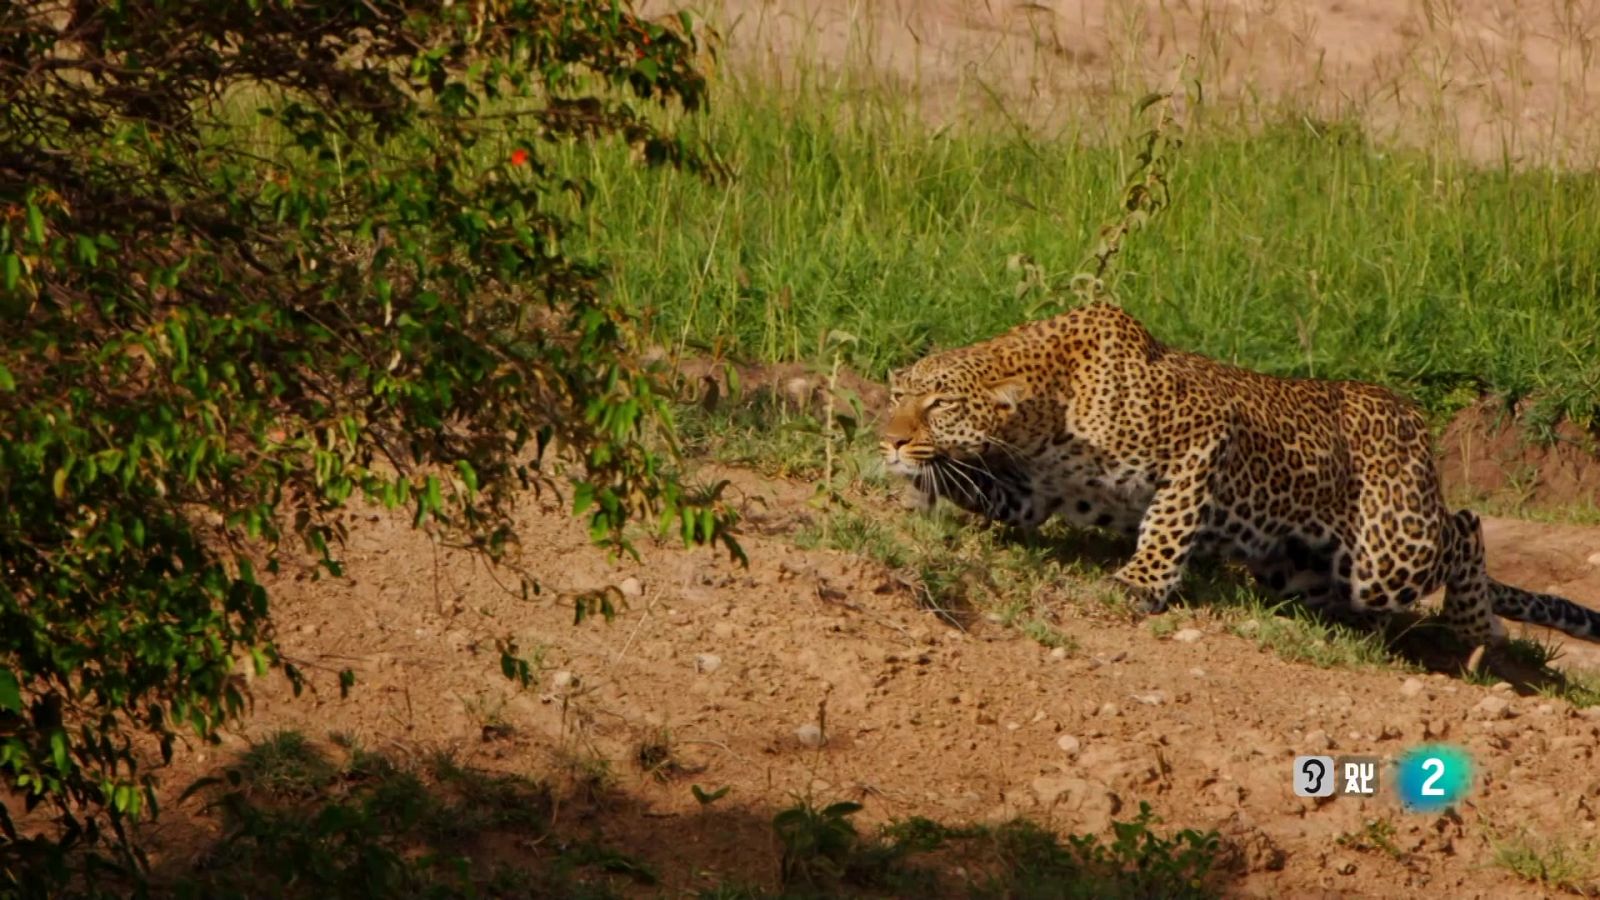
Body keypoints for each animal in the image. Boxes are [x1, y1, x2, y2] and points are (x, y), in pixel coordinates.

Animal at [876, 301, 1600, 643]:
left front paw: (1141, 582)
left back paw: (1476, 626)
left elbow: (1168, 521)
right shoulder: (1034, 492)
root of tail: (1412, 419)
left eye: (938, 404)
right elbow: (984, 489)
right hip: (1311, 567)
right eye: (896, 394)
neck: (1046, 409)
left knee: (1466, 525)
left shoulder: (1204, 437)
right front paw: (918, 482)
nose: (888, 441)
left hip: (1392, 552)